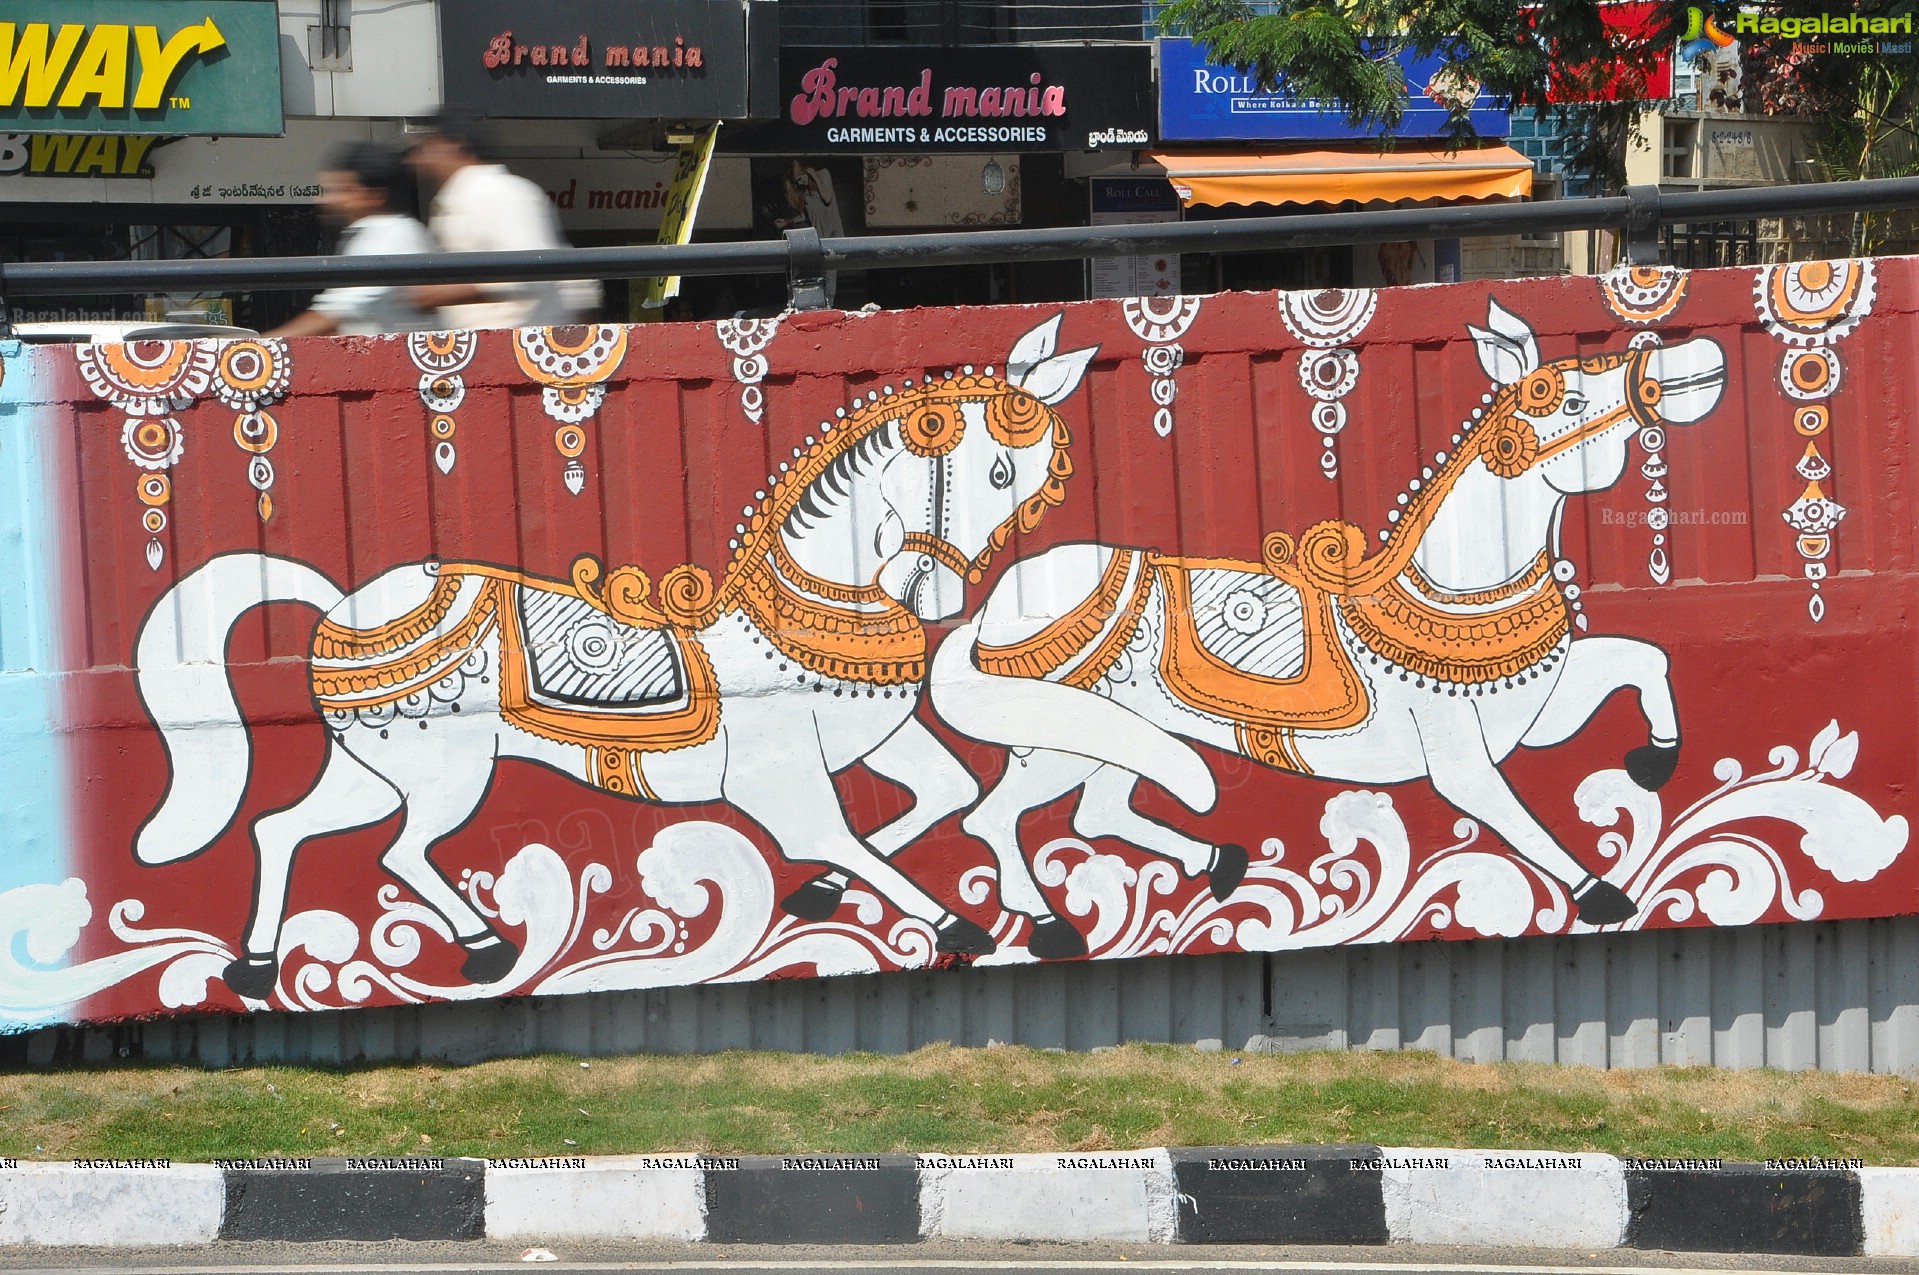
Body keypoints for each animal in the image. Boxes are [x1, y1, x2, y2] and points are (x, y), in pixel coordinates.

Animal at [131, 312, 1097, 990]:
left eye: (1026, 490)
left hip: (372, 767)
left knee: (279, 826)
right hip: (444, 772)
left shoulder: (880, 742)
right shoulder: (777, 784)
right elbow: (853, 839)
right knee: (398, 853)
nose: (939, 597)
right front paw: (955, 923)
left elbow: (947, 795)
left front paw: (840, 895)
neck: (804, 610)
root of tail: (343, 603)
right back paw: (484, 946)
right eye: (997, 473)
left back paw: (255, 966)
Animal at [921, 301, 1734, 956]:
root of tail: (988, 612)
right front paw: (1600, 893)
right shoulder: (1459, 759)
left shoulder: (1535, 715)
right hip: (1061, 736)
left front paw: (1653, 762)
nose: (1699, 363)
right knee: (994, 819)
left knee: (1096, 812)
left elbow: (1640, 658)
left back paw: (1219, 862)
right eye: (1563, 395)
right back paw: (1052, 925)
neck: (1454, 592)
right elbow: (1516, 815)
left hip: (1116, 735)